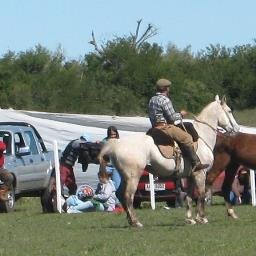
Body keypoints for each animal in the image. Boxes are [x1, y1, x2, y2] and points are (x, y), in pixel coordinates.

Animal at [98, 95, 240, 227]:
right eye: (229, 110)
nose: (236, 128)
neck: (201, 136)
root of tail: (115, 145)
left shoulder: (191, 175)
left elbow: (189, 196)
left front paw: (190, 219)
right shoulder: (200, 173)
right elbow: (201, 194)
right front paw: (202, 218)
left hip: (125, 176)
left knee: (120, 194)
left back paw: (130, 221)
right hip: (133, 177)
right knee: (128, 196)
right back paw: (136, 222)